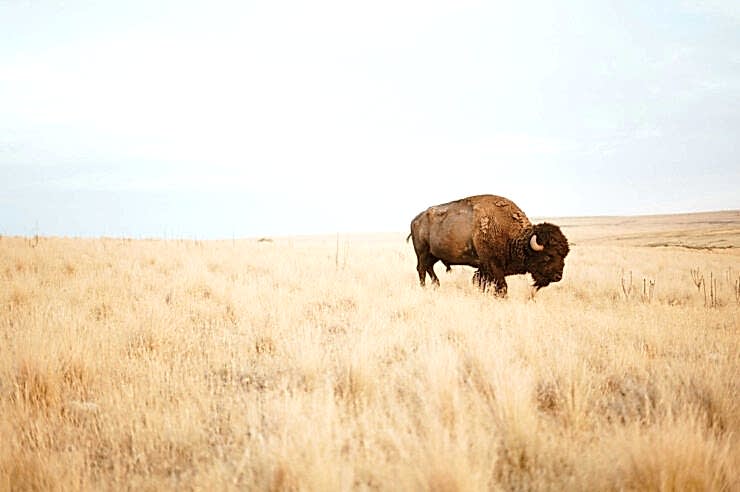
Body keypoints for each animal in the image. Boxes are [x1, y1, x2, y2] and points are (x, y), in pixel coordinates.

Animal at [407, 194, 569, 296]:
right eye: (548, 256)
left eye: (564, 255)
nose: (558, 276)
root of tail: (415, 220)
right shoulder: (493, 266)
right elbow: (502, 286)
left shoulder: (485, 268)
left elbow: (481, 282)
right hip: (422, 253)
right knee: (421, 269)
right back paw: (425, 288)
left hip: (433, 255)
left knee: (429, 268)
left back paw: (437, 285)